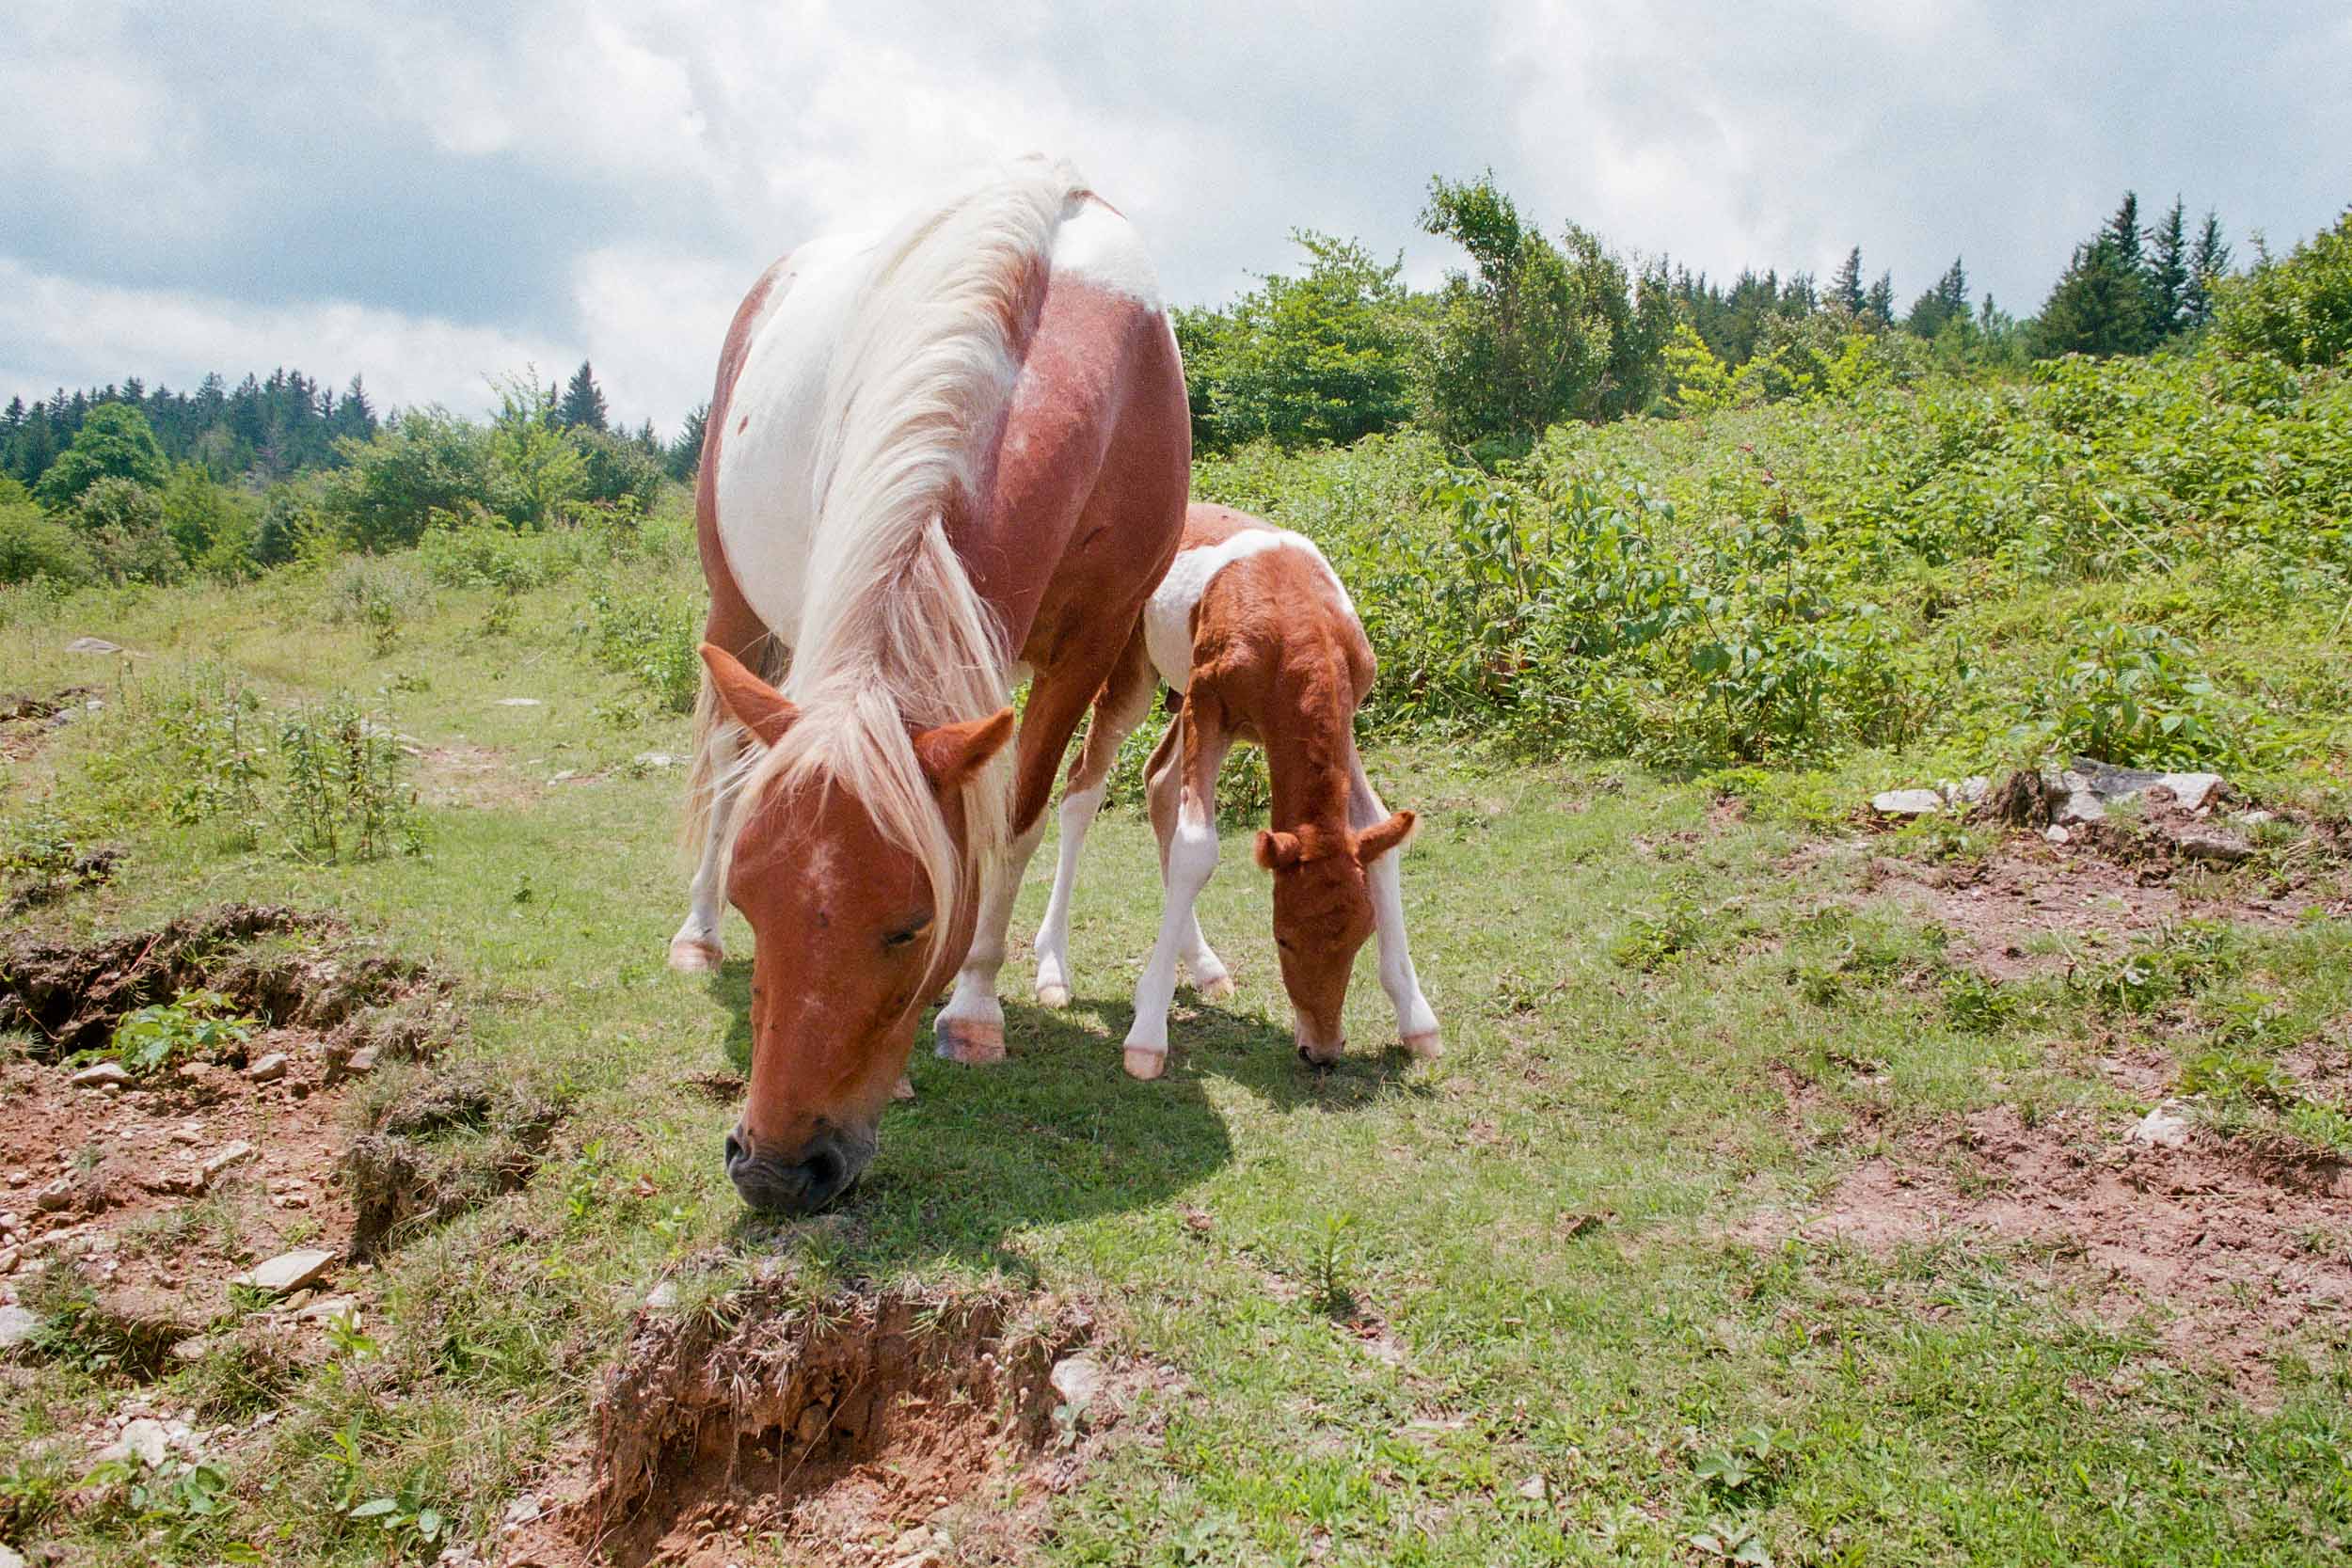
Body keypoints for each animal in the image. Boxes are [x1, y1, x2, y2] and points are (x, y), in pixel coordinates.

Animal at [671, 158, 1189, 1212]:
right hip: (736, 604)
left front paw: (976, 1006)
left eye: (911, 928)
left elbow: (1017, 822)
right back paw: (692, 937)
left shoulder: (1087, 649)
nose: (774, 1168)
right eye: (752, 899)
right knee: (725, 756)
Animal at [1031, 502, 1441, 1079]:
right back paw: (1053, 969)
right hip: (1132, 673)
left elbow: (1376, 826)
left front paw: (1417, 1020)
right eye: (1282, 938)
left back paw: (1204, 966)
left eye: (1361, 936)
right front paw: (1147, 1038)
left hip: (1179, 696)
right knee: (1081, 790)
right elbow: (1196, 848)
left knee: (1158, 782)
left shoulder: (1340, 718)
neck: (1297, 626)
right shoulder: (1210, 704)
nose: (1322, 1050)